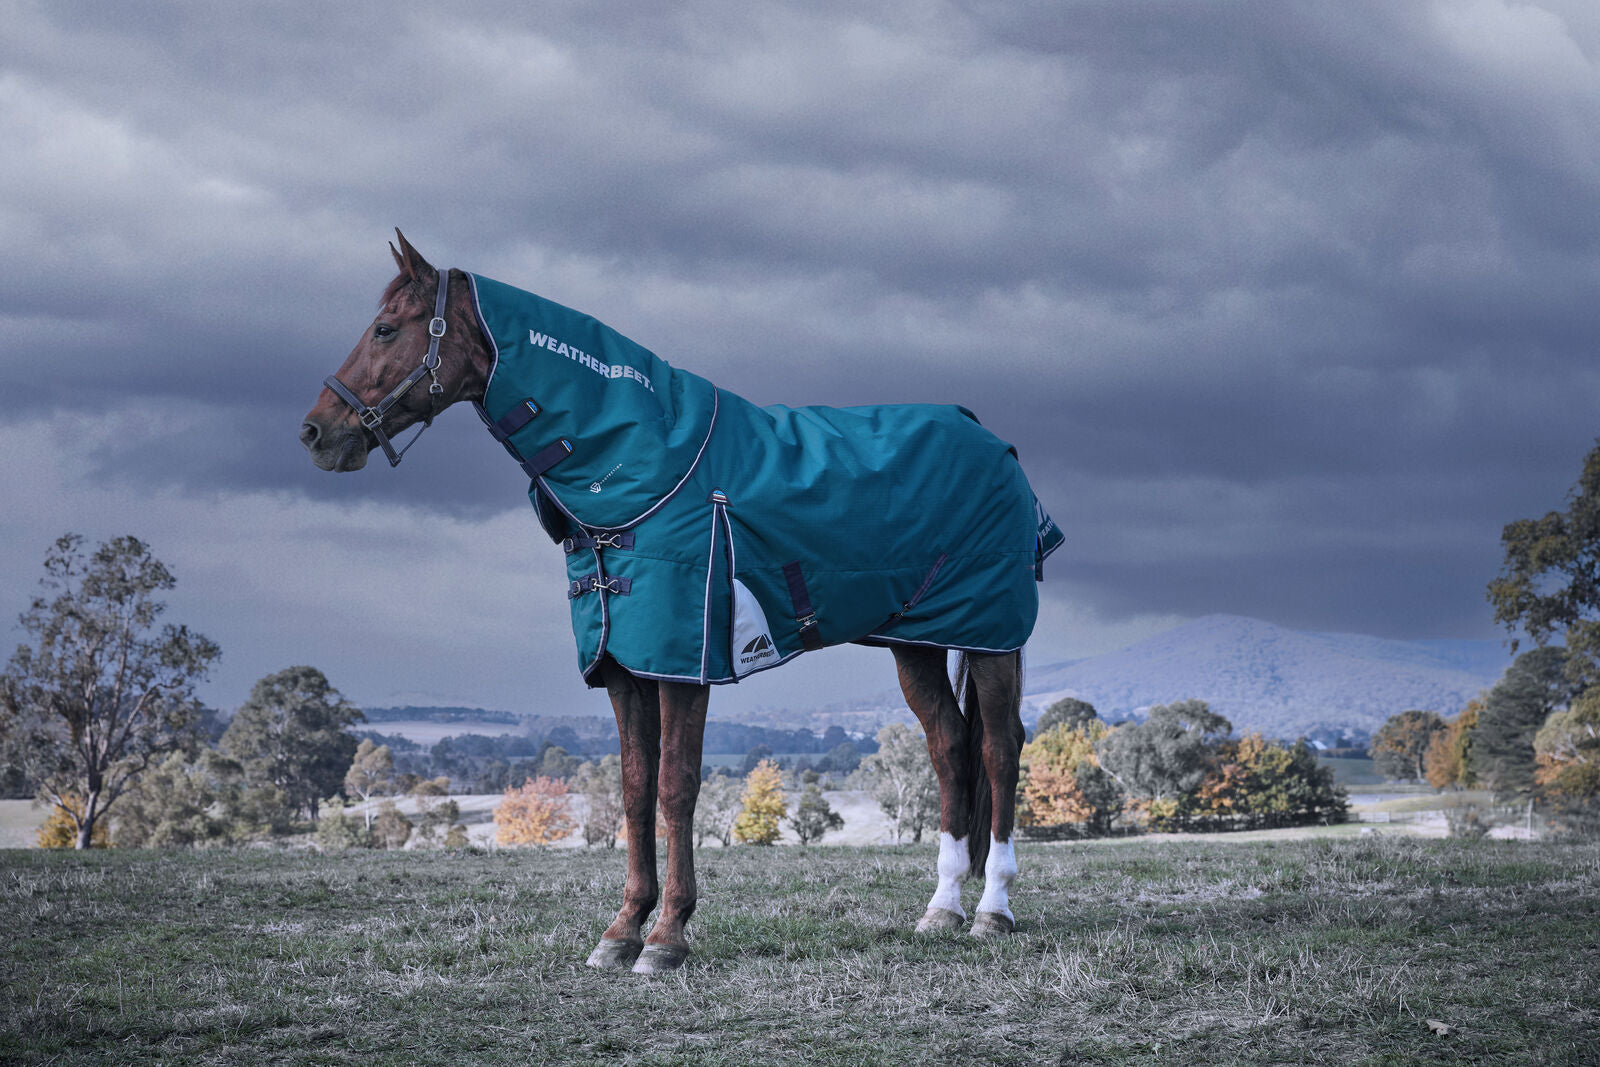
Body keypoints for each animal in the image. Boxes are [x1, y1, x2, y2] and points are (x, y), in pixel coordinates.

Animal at [300, 231, 1062, 974]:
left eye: (385, 327)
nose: (315, 432)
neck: (647, 470)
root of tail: (992, 440)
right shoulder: (623, 668)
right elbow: (635, 791)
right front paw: (621, 930)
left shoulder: (682, 665)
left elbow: (675, 787)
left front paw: (667, 935)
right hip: (916, 644)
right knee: (949, 749)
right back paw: (942, 908)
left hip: (992, 637)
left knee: (998, 749)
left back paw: (992, 909)